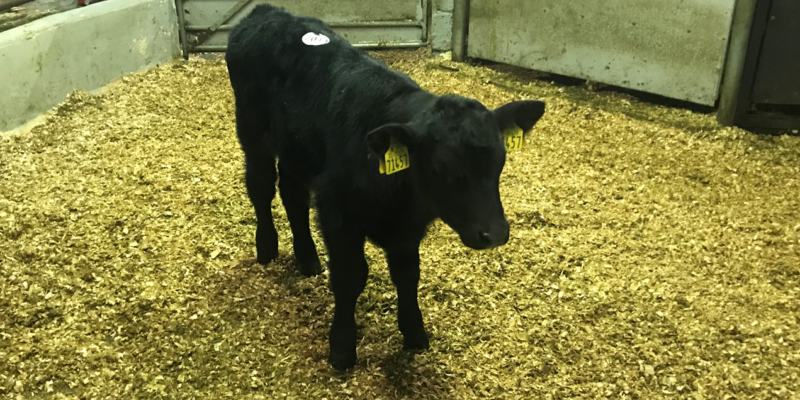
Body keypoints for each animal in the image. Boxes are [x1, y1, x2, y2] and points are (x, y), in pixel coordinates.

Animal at [225, 4, 546, 370]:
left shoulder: (406, 230)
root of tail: (267, 11)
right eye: (440, 167)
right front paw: (342, 348)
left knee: (292, 194)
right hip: (251, 130)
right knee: (261, 184)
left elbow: (408, 275)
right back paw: (266, 247)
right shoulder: (337, 211)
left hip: (297, 150)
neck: (402, 200)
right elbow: (350, 276)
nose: (495, 233)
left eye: (500, 161)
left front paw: (414, 333)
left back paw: (307, 259)